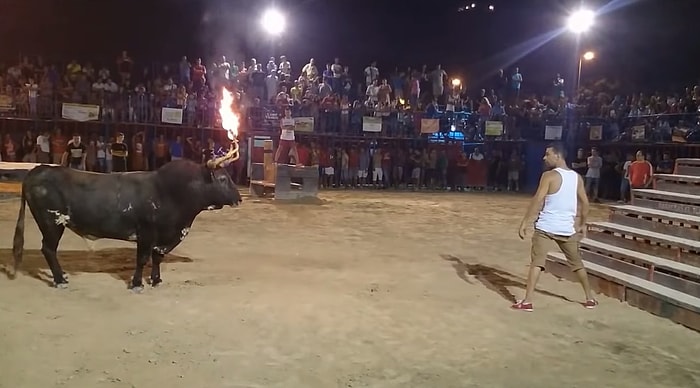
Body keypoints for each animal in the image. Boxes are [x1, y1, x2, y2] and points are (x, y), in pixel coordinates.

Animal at [8, 152, 242, 292]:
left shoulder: (163, 236)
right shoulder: (146, 233)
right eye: (222, 179)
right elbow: (142, 259)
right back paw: (60, 280)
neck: (169, 191)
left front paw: (156, 280)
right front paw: (137, 284)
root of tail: (39, 169)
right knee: (48, 249)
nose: (239, 199)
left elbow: (157, 257)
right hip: (51, 223)